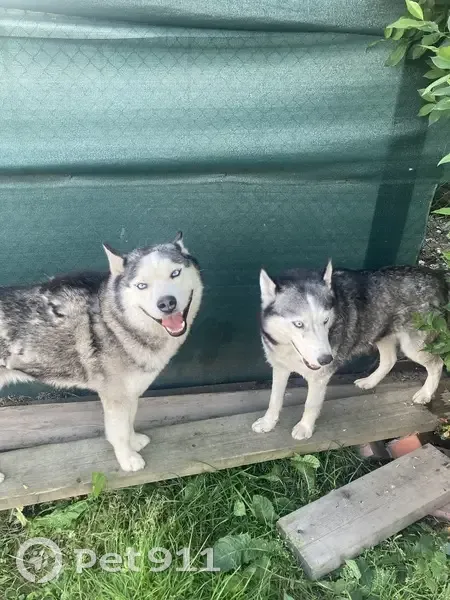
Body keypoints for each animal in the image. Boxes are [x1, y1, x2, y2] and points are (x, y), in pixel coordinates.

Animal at [0, 232, 202, 481]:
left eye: (175, 273)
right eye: (141, 285)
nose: (166, 303)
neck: (115, 322)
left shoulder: (130, 392)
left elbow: (129, 422)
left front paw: (134, 442)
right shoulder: (114, 396)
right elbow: (118, 432)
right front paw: (128, 459)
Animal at [253, 262, 447, 441]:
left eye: (325, 320)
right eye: (298, 324)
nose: (327, 359)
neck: (288, 350)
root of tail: (436, 276)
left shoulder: (319, 378)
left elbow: (310, 404)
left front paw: (305, 428)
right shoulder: (279, 368)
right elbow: (274, 399)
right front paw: (268, 422)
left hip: (412, 347)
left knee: (437, 363)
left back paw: (425, 393)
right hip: (380, 334)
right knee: (389, 360)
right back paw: (370, 381)